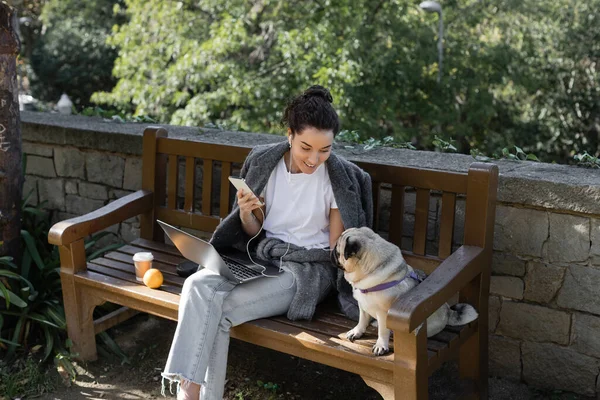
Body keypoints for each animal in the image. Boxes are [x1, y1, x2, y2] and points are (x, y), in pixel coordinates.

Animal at [332, 227, 478, 354]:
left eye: (338, 252)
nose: (331, 250)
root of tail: (448, 312)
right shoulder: (363, 305)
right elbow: (362, 320)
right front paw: (357, 331)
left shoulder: (384, 313)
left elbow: (383, 332)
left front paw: (381, 345)